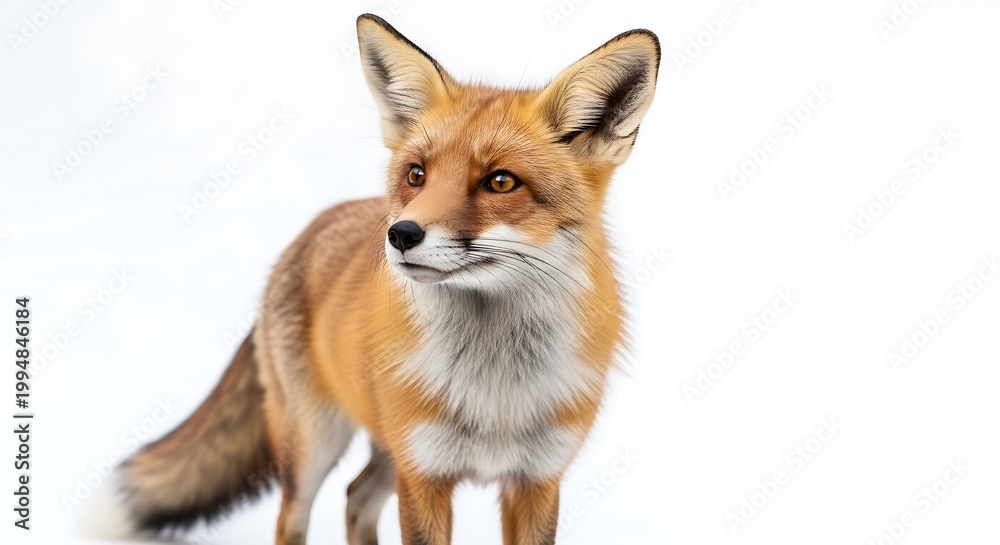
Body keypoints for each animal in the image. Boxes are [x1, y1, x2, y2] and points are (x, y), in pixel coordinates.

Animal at [85, 13, 660, 545]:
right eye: (416, 175)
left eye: (500, 182)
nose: (401, 234)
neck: (493, 394)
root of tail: (311, 229)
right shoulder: (424, 475)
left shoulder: (535, 480)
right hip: (316, 448)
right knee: (295, 517)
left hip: (386, 455)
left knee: (355, 497)